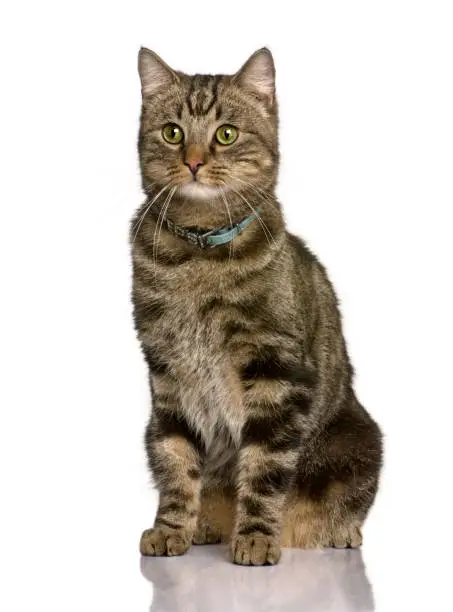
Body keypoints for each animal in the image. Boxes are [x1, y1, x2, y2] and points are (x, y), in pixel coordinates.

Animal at [131, 45, 382, 568]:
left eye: (225, 134)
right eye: (172, 132)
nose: (194, 162)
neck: (199, 252)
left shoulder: (277, 372)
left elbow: (265, 467)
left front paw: (256, 536)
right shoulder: (165, 374)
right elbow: (175, 463)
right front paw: (171, 529)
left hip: (360, 439)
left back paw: (333, 532)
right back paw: (208, 525)